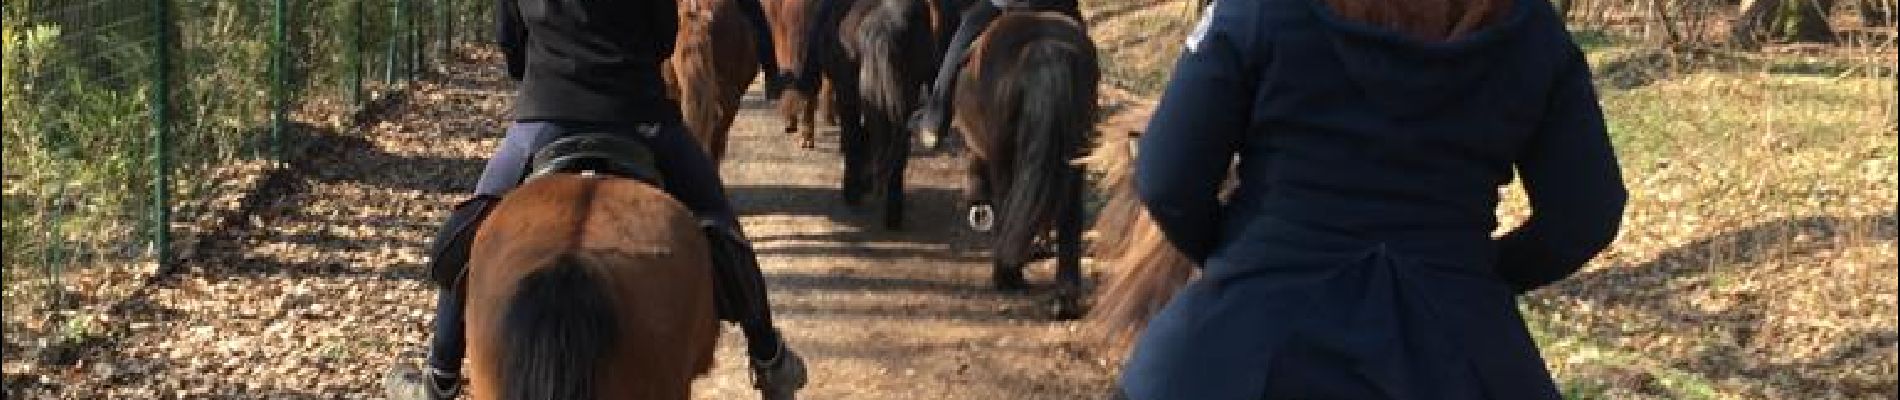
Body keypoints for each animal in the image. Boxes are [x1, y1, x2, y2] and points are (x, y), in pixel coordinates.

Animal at [946, 10, 1102, 320]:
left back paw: (1007, 276)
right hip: (1076, 154)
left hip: (1005, 158)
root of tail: (1045, 48)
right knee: (1069, 214)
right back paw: (1065, 299)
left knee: (1008, 203)